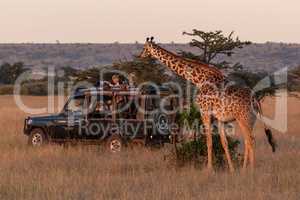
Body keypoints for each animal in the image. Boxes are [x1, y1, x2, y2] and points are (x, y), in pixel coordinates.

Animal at [140, 37, 276, 172]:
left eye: (145, 48)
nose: (140, 56)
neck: (199, 80)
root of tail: (255, 99)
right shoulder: (219, 118)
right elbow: (224, 143)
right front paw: (231, 170)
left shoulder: (204, 112)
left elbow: (209, 141)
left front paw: (209, 169)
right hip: (249, 120)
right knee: (247, 140)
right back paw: (243, 169)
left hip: (244, 118)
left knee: (250, 140)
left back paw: (251, 170)